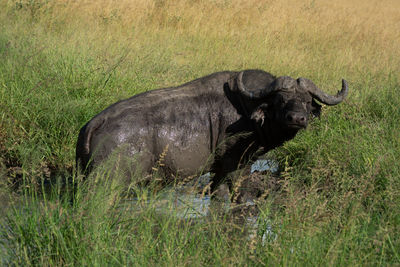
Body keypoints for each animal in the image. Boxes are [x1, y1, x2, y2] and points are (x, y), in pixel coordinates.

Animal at [76, 70, 348, 197]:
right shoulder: (237, 166)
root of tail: (95, 122)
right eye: (281, 100)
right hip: (106, 184)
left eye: (306, 101)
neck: (247, 112)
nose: (297, 119)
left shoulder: (218, 171)